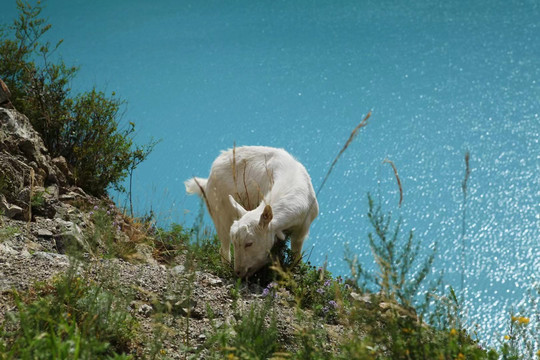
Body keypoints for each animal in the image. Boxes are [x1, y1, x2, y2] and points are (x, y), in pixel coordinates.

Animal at [186, 145, 320, 278]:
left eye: (249, 243)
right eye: (236, 243)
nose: (238, 272)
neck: (291, 179)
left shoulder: (302, 229)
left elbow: (296, 255)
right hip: (219, 213)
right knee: (223, 247)